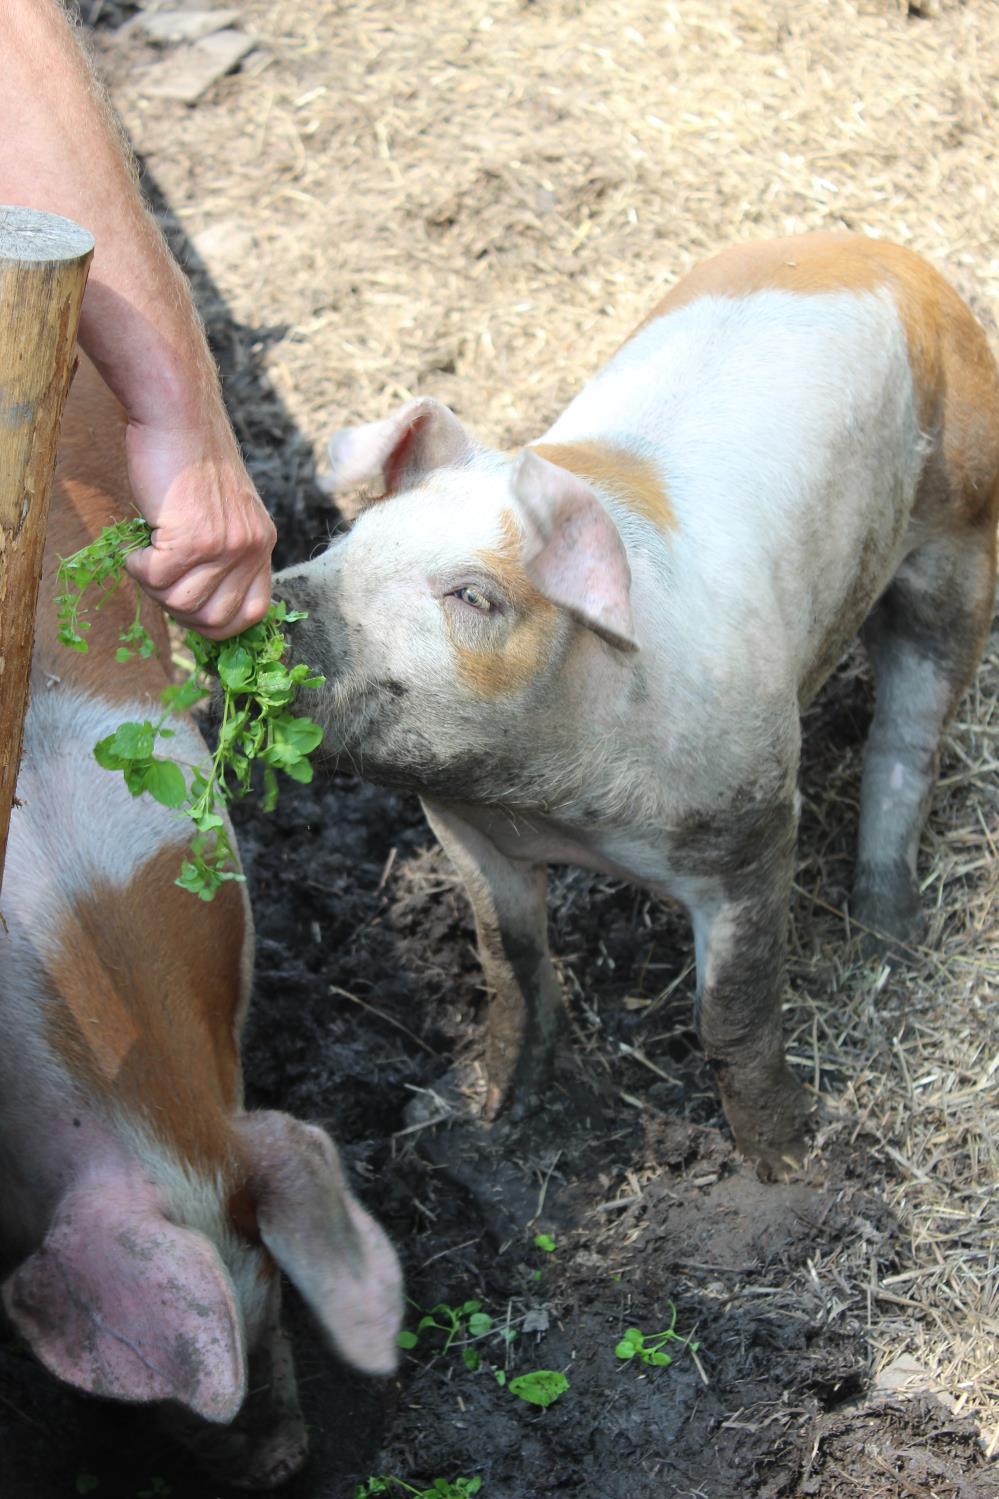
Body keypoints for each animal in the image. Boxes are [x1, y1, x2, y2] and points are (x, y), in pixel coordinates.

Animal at [276, 227, 996, 1175]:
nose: (274, 603)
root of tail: (886, 253)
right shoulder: (464, 828)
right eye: (350, 537)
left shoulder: (753, 823)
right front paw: (477, 1116)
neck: (558, 804)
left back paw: (890, 933)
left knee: (908, 739)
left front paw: (787, 1166)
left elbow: (732, 1016)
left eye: (473, 596)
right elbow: (509, 969)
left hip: (960, 534)